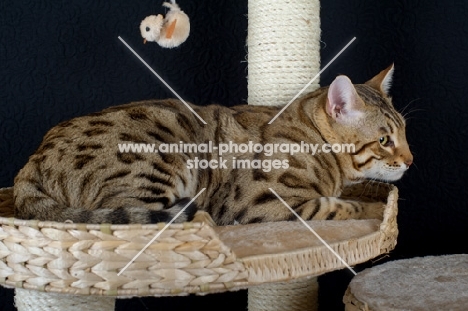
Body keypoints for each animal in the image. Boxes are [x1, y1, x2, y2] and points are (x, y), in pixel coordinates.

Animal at [12, 66, 412, 227]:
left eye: (405, 133)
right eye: (384, 140)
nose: (410, 160)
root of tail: (32, 160)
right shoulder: (261, 204)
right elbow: (342, 206)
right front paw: (379, 211)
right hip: (157, 159)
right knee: (130, 216)